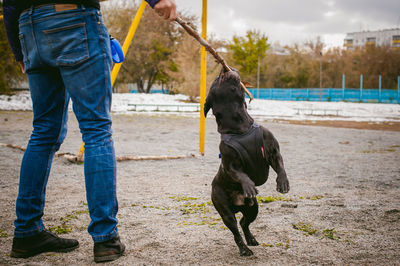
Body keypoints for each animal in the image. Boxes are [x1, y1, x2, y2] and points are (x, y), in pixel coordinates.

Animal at [205, 68, 290, 256]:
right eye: (216, 81)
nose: (223, 69)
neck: (240, 127)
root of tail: (237, 205)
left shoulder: (273, 151)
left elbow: (280, 166)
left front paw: (283, 183)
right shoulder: (230, 164)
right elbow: (240, 174)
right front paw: (249, 185)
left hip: (253, 208)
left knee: (244, 223)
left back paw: (251, 239)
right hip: (225, 210)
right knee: (235, 229)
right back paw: (244, 249)